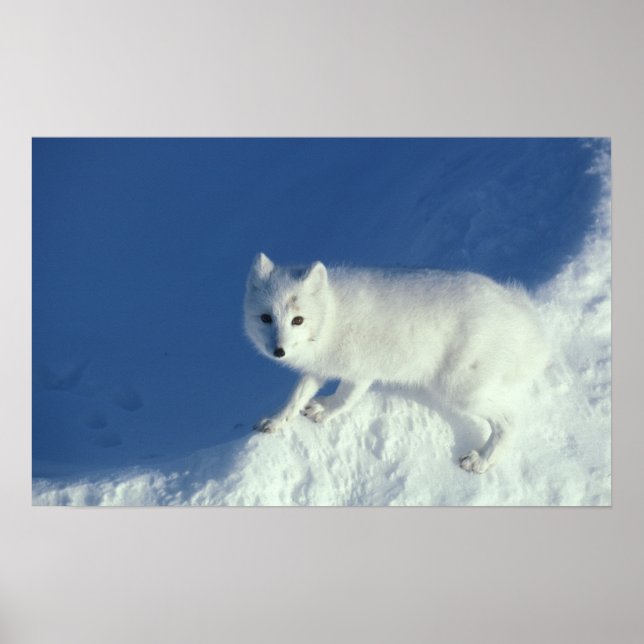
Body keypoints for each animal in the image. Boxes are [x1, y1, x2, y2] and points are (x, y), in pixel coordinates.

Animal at [244, 252, 549, 474]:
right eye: (266, 318)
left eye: (298, 320)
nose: (279, 351)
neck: (331, 316)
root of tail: (517, 313)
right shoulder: (319, 368)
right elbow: (296, 397)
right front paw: (275, 421)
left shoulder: (360, 371)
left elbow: (344, 398)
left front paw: (325, 411)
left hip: (459, 389)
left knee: (509, 421)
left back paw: (481, 460)